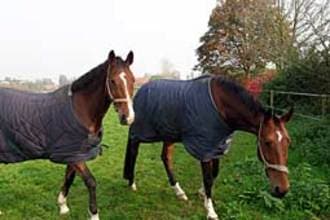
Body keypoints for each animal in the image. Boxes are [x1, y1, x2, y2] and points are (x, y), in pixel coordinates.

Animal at [0, 50, 135, 220]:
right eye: (112, 81)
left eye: (133, 79)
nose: (128, 117)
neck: (80, 110)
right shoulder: (74, 154)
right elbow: (91, 182)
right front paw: (94, 214)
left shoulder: (72, 154)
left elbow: (69, 178)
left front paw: (63, 206)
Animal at [122, 75, 292, 219]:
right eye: (267, 142)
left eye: (288, 142)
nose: (282, 189)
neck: (221, 107)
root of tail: (141, 90)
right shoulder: (204, 149)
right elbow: (208, 178)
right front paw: (210, 211)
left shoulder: (217, 146)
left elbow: (214, 174)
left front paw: (202, 193)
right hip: (140, 132)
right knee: (134, 152)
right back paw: (132, 183)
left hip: (169, 134)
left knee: (166, 158)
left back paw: (179, 192)